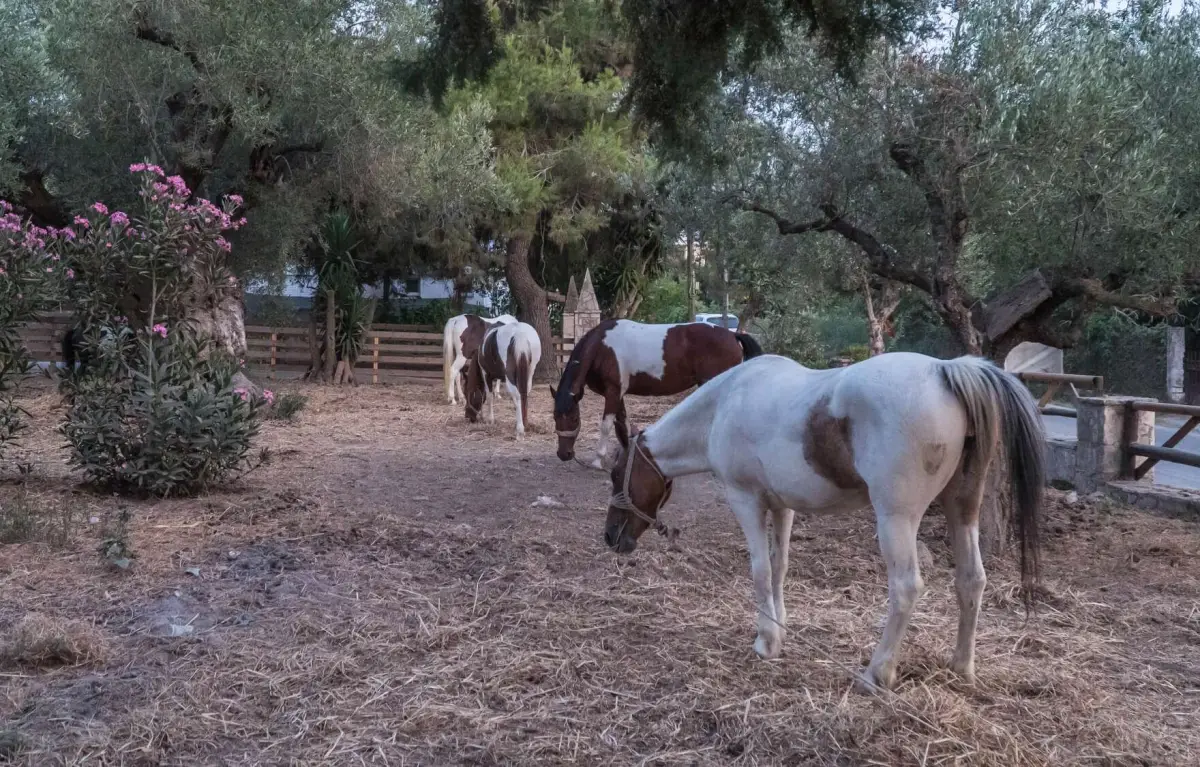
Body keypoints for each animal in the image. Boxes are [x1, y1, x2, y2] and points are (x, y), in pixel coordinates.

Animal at [551, 319, 763, 469]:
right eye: (555, 417)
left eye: (575, 418)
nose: (564, 454)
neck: (602, 347)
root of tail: (732, 336)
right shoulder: (618, 394)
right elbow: (623, 422)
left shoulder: (612, 392)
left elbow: (606, 426)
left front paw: (597, 461)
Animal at [599, 352, 1044, 691]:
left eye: (615, 473)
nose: (611, 537)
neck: (726, 404)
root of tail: (946, 370)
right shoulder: (782, 507)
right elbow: (779, 567)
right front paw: (779, 627)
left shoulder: (747, 501)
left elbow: (760, 571)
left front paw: (766, 642)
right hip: (961, 509)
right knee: (971, 580)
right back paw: (961, 668)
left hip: (896, 519)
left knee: (905, 589)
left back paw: (876, 674)